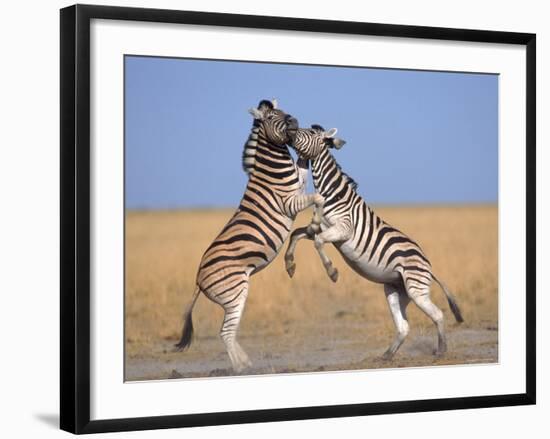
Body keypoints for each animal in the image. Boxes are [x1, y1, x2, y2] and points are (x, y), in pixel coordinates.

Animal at [175, 99, 326, 372]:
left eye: (284, 111)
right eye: (271, 117)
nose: (295, 121)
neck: (273, 171)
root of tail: (198, 280)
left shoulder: (298, 186)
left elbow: (303, 170)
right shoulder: (289, 202)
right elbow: (318, 198)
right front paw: (315, 223)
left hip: (233, 295)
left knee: (230, 332)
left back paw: (247, 363)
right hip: (235, 291)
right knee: (225, 333)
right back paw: (241, 369)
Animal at [286, 124, 464, 360]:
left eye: (311, 133)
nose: (289, 129)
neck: (331, 193)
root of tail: (428, 265)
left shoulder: (343, 229)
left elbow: (318, 242)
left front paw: (332, 272)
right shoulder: (319, 227)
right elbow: (297, 235)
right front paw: (289, 264)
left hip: (416, 288)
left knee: (438, 314)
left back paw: (441, 351)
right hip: (396, 290)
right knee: (403, 326)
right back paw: (387, 355)